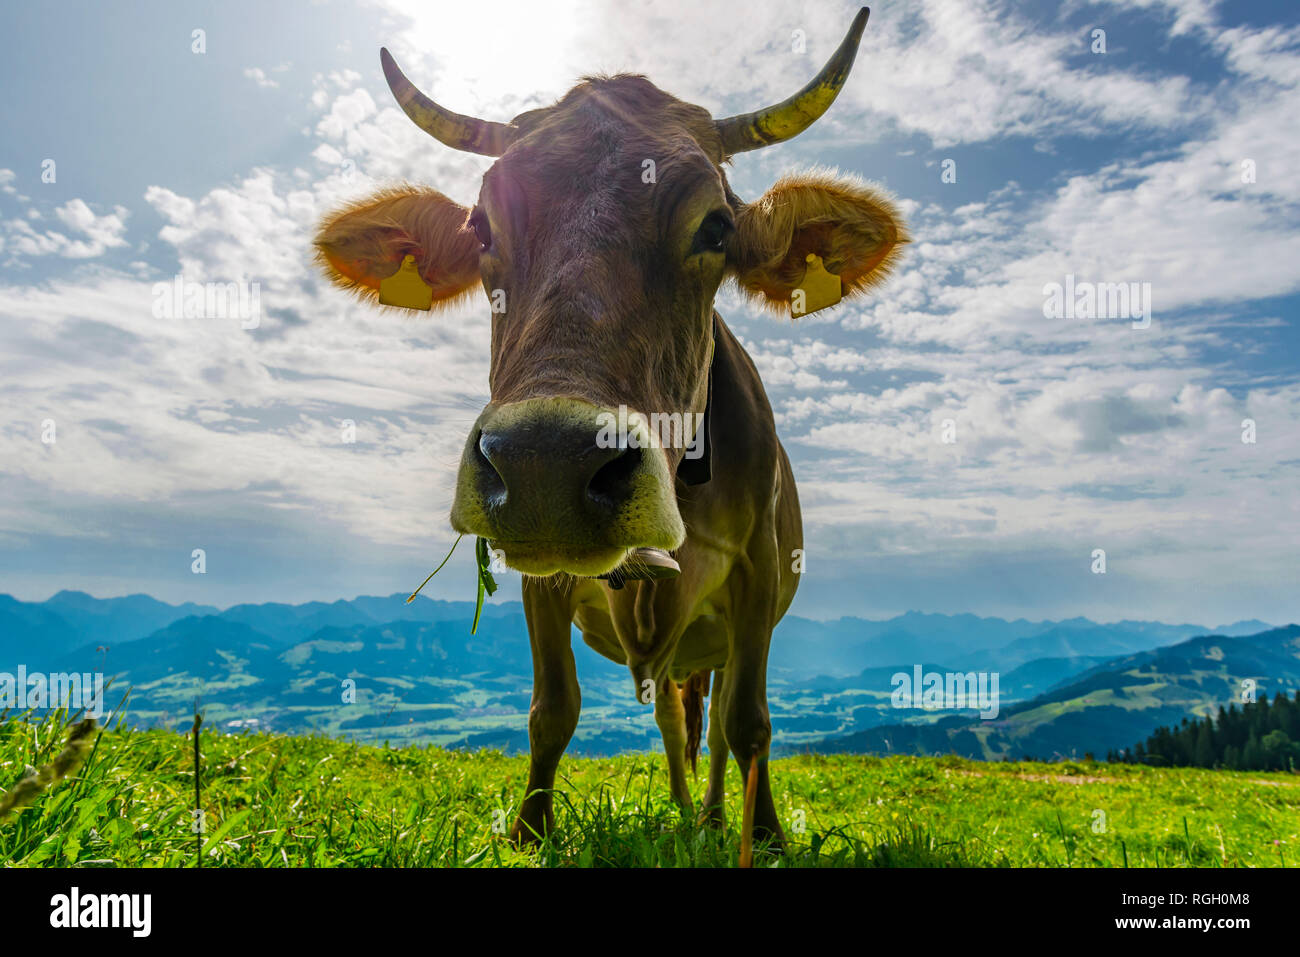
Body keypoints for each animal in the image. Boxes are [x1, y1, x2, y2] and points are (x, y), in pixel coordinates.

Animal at [313, 3, 904, 863]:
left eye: (717, 227)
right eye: (481, 228)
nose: (545, 463)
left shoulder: (759, 568)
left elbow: (750, 721)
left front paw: (763, 835)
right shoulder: (537, 572)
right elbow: (551, 709)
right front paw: (530, 830)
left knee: (713, 725)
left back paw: (713, 818)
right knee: (673, 722)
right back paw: (687, 810)